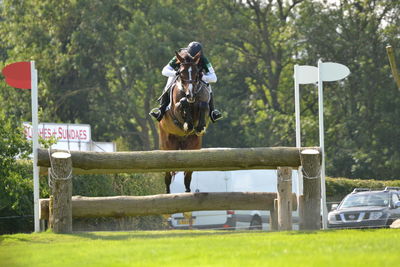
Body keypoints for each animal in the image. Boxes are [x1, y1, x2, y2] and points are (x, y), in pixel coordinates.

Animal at [158, 50, 211, 194]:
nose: (190, 95)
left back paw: (187, 192)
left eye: (197, 72)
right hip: (167, 145)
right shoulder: (175, 110)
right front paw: (188, 124)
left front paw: (199, 127)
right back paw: (167, 193)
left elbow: (203, 104)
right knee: (168, 175)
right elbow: (182, 103)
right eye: (181, 73)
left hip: (193, 146)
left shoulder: (202, 103)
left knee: (187, 176)